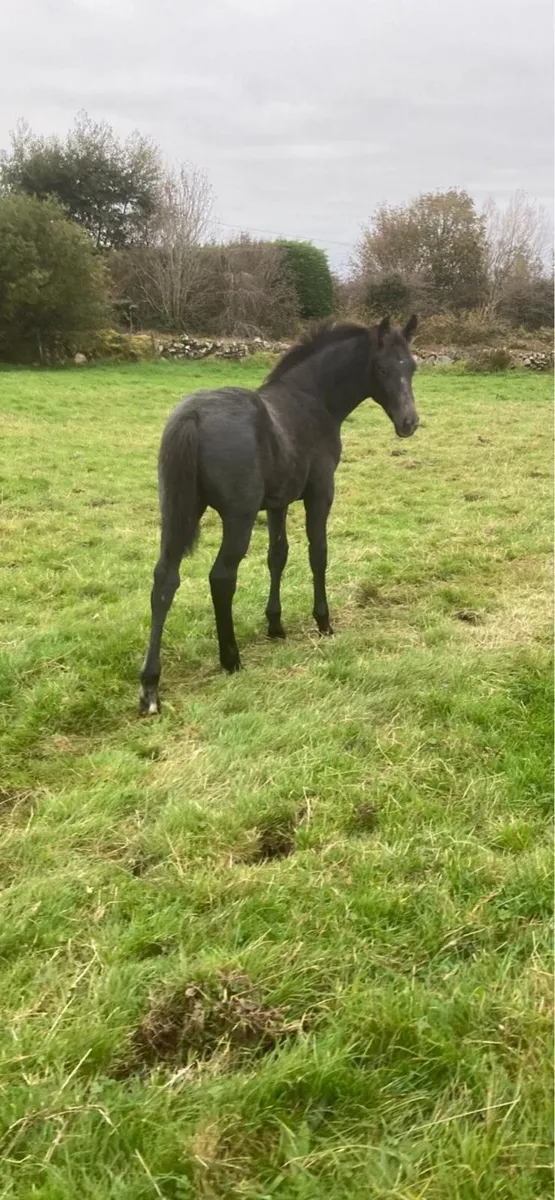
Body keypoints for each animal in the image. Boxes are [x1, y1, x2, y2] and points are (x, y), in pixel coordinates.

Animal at [139, 314, 419, 714]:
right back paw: (231, 659)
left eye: (411, 366)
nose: (409, 423)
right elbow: (318, 553)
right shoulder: (319, 494)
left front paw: (275, 625)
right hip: (237, 517)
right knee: (221, 577)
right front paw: (323, 622)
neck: (312, 401)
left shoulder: (277, 502)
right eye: (382, 368)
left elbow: (278, 556)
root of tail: (192, 417)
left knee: (164, 580)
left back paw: (150, 687)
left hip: (178, 512)